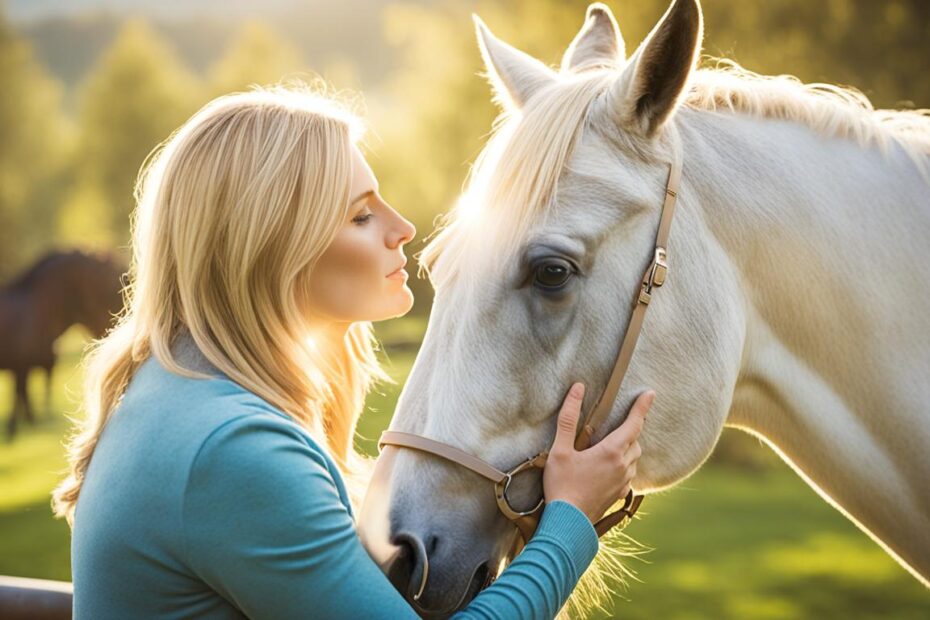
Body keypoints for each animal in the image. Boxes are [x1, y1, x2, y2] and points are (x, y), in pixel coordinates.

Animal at [0, 248, 125, 440]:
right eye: (109, 286)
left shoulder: (28, 368)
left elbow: (23, 397)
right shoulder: (20, 367)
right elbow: (19, 396)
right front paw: (12, 432)